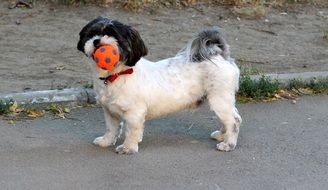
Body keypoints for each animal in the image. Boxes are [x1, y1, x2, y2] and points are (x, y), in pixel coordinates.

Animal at [76, 16, 241, 154]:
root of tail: (219, 55)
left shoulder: (134, 113)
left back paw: (228, 144)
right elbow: (111, 129)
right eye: (91, 34)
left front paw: (128, 148)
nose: (97, 41)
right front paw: (106, 141)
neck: (117, 74)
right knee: (233, 118)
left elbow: (131, 131)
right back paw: (222, 135)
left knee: (233, 122)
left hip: (219, 99)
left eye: (113, 35)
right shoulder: (110, 111)